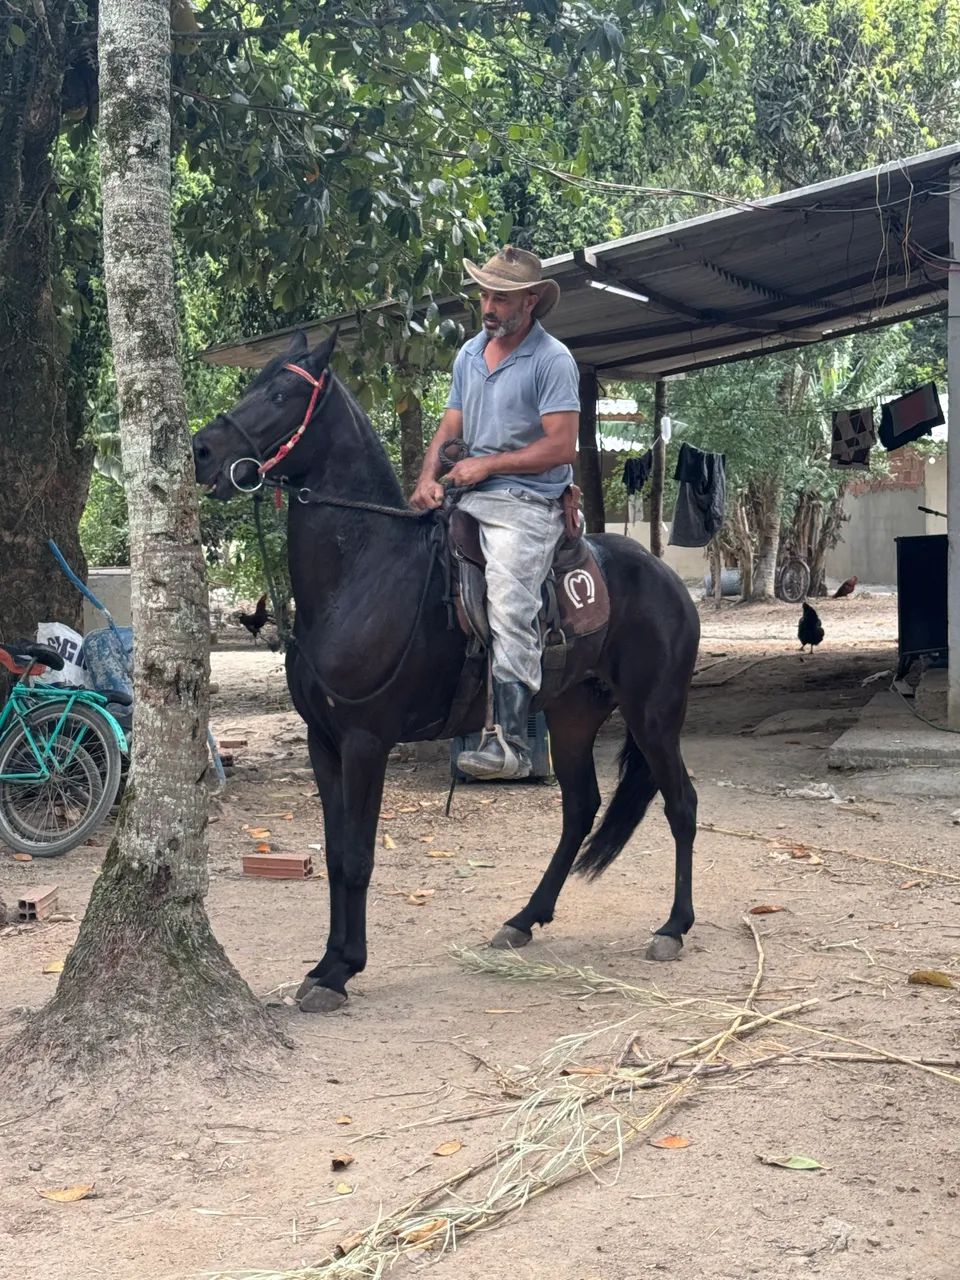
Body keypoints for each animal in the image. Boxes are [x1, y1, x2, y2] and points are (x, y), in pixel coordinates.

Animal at [193, 329, 701, 1012]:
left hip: (655, 715)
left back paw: (673, 927)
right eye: (252, 383)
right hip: (573, 716)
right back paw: (524, 918)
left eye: (280, 394)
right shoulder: (324, 744)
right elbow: (334, 853)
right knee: (580, 809)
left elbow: (358, 857)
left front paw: (341, 970)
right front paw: (327, 962)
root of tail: (668, 579)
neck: (363, 571)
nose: (202, 451)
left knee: (681, 804)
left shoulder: (366, 742)